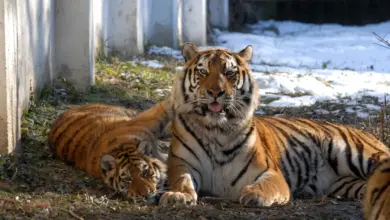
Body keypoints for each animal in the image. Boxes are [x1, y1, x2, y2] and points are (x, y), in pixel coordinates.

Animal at [149, 42, 390, 209]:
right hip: (347, 183)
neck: (216, 129)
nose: (216, 92)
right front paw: (177, 196)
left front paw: (253, 194)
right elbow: (182, 181)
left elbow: (266, 185)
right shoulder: (182, 165)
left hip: (356, 153)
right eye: (203, 72)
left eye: (229, 72)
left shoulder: (270, 172)